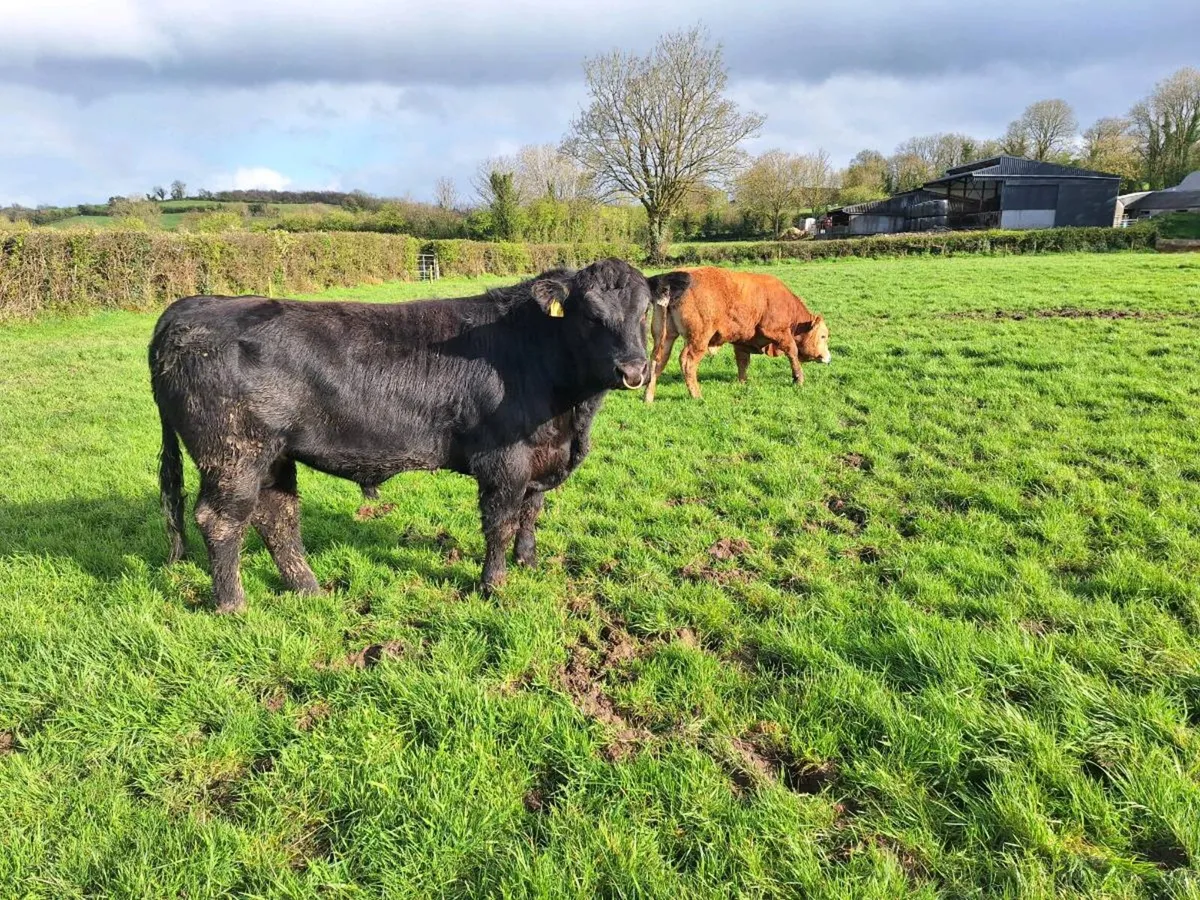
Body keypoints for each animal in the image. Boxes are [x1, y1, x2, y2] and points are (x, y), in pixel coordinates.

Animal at [149, 259, 679, 613]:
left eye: (642, 311)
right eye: (589, 314)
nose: (634, 370)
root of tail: (190, 306)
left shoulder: (540, 459)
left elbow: (531, 514)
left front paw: (528, 564)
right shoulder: (503, 462)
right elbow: (501, 523)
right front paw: (493, 585)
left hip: (274, 455)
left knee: (277, 517)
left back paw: (309, 590)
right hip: (233, 453)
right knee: (221, 520)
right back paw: (233, 605)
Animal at [642, 267, 831, 403]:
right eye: (823, 336)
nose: (829, 358)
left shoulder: (742, 342)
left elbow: (743, 362)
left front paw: (742, 382)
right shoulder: (779, 332)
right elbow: (793, 352)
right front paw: (798, 379)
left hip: (664, 336)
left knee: (657, 361)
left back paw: (648, 397)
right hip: (698, 339)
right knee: (687, 362)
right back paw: (696, 395)